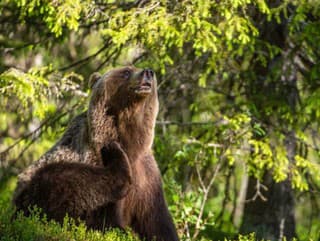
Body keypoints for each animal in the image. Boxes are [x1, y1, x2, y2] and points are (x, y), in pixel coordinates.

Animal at [13, 66, 179, 241]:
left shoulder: (147, 177)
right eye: (126, 71)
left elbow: (157, 221)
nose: (148, 72)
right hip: (30, 194)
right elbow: (102, 215)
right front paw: (119, 230)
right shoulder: (93, 154)